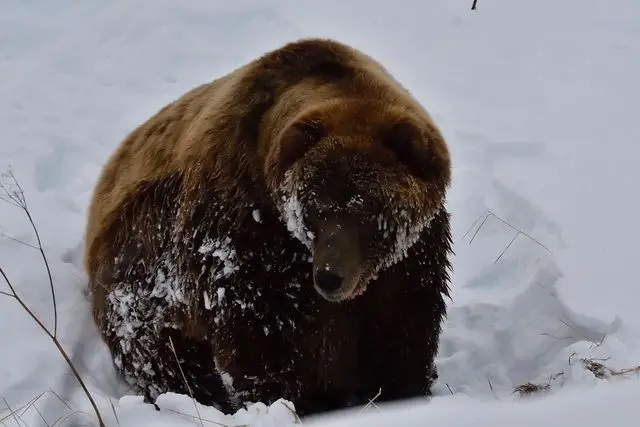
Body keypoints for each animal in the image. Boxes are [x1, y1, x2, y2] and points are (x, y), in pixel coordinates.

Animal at [83, 37, 453, 417]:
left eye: (368, 208)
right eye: (315, 207)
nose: (329, 277)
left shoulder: (411, 256)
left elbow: (403, 327)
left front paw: (402, 391)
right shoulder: (243, 231)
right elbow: (258, 333)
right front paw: (285, 399)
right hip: (140, 273)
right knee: (162, 353)